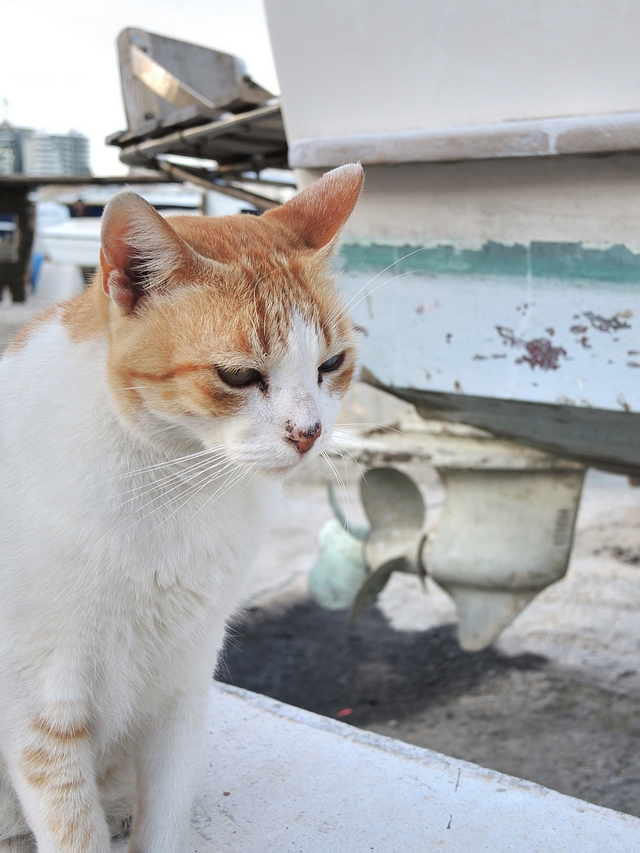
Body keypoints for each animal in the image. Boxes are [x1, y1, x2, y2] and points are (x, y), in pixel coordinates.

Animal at [0, 163, 362, 848]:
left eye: (331, 364)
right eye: (239, 376)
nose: (309, 433)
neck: (171, 483)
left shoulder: (184, 684)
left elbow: (165, 815)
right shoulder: (39, 713)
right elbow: (72, 828)